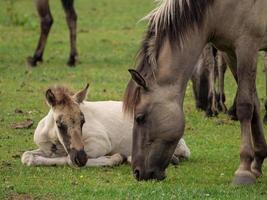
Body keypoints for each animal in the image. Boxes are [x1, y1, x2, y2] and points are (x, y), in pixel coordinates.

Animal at [22, 84, 191, 167]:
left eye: (83, 121)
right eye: (59, 124)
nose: (81, 158)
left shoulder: (100, 143)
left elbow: (69, 160)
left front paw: (115, 158)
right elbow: (27, 156)